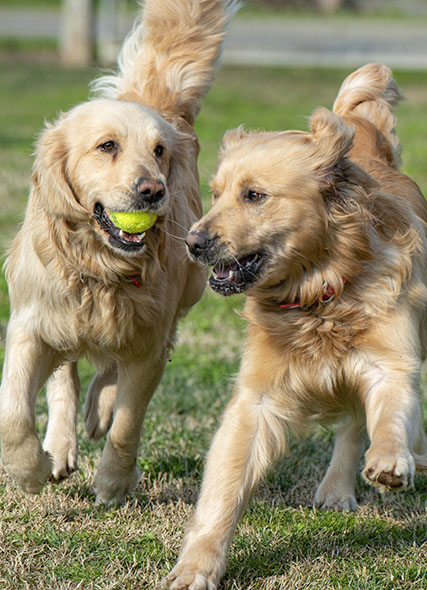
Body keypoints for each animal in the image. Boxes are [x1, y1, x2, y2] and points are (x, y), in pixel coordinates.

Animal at [0, 0, 239, 506]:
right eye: (107, 146)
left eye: (160, 150)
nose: (154, 191)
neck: (100, 269)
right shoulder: (30, 323)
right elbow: (12, 414)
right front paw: (31, 470)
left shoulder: (150, 343)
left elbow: (128, 423)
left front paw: (112, 482)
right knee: (67, 370)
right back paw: (61, 443)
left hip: (184, 297)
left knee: (110, 367)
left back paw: (99, 410)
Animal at [166, 62, 427, 588]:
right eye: (215, 193)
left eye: (254, 195)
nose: (193, 243)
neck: (319, 295)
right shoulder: (256, 400)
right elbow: (223, 490)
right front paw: (196, 566)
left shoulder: (392, 360)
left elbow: (391, 410)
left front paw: (391, 459)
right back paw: (337, 489)